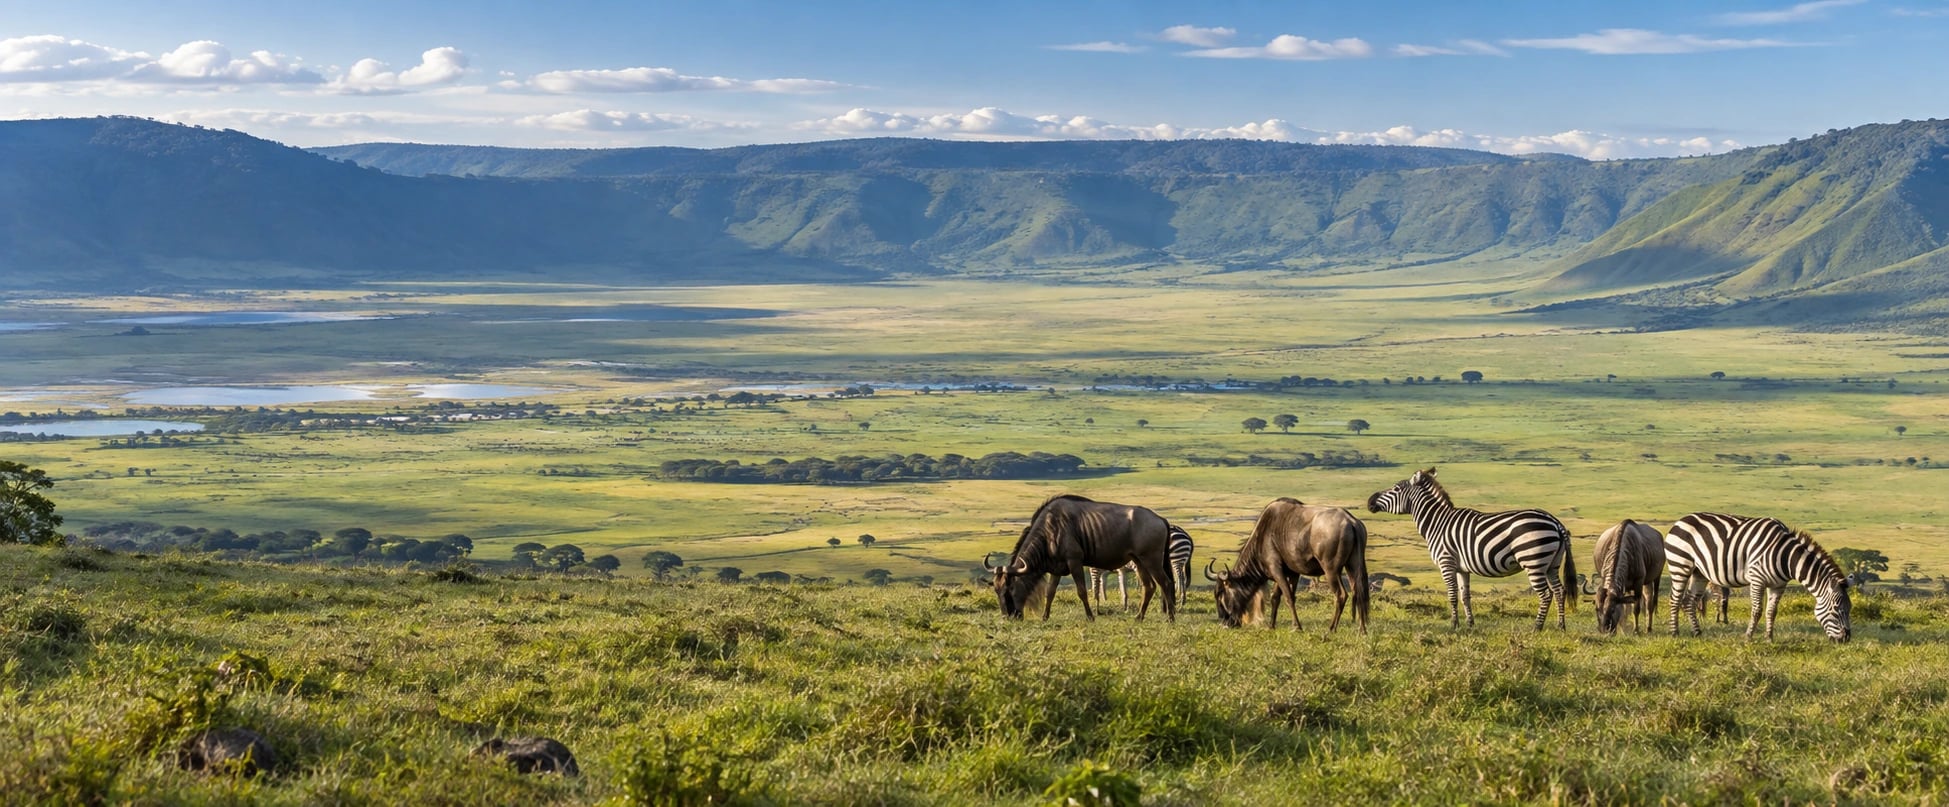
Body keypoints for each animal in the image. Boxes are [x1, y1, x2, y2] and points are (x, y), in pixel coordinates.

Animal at [1367, 466, 1576, 630]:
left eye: (1395, 488)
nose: (1369, 501)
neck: (1437, 523)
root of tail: (1555, 522)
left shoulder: (1446, 562)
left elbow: (1452, 595)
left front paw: (1454, 625)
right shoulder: (1462, 568)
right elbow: (1465, 596)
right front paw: (1469, 624)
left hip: (1533, 560)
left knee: (1546, 594)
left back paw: (1537, 627)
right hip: (1552, 563)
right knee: (1559, 591)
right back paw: (1561, 626)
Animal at [1664, 512, 1852, 642]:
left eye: (1849, 609)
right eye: (1836, 609)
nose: (1846, 639)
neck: (1785, 556)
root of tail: (1681, 520)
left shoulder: (1778, 585)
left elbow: (1771, 611)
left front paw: (1769, 638)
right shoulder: (1757, 579)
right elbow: (1757, 610)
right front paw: (1748, 637)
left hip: (1699, 572)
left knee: (1688, 601)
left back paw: (1697, 632)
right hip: (1680, 564)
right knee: (1675, 599)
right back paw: (1674, 633)